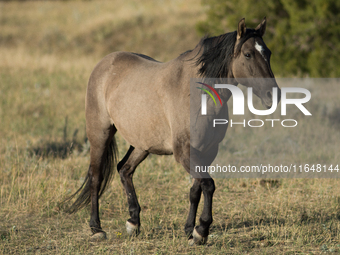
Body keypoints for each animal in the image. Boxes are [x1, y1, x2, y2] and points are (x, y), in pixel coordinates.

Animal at [64, 16, 282, 244]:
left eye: (268, 53)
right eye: (248, 54)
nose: (273, 95)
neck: (196, 95)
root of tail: (105, 63)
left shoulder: (207, 151)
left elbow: (195, 189)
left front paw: (189, 229)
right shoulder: (184, 152)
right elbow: (208, 184)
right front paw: (201, 230)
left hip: (142, 144)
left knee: (125, 169)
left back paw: (133, 222)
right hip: (100, 133)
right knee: (96, 177)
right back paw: (96, 228)